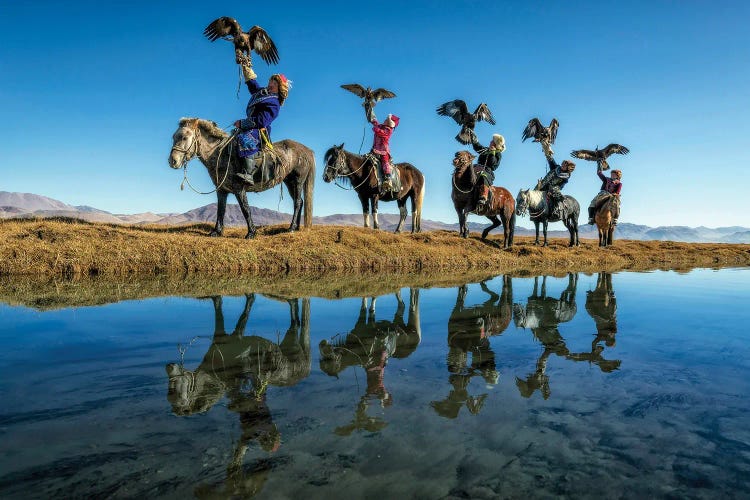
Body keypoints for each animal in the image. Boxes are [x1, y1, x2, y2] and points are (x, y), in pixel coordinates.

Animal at [169, 119, 316, 240]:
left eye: (184, 137)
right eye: (174, 137)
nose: (172, 161)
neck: (220, 154)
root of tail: (307, 150)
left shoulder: (239, 189)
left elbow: (245, 209)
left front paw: (251, 233)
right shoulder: (222, 190)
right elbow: (220, 210)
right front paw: (216, 232)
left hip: (298, 181)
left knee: (297, 202)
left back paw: (291, 228)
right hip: (289, 182)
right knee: (299, 201)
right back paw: (296, 227)